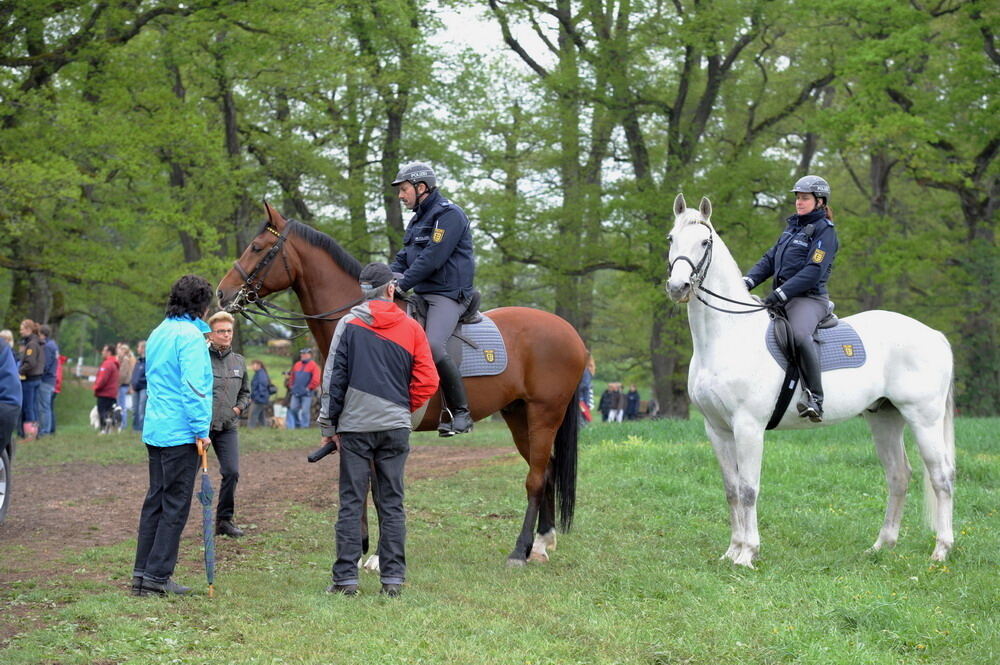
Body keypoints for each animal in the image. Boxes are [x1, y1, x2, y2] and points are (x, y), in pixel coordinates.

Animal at [217, 202, 584, 564]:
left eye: (257, 247)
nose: (222, 293)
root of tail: (568, 331)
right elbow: (365, 485)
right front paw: (363, 547)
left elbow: (381, 490)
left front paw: (380, 556)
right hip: (518, 415)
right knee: (546, 471)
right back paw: (542, 542)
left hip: (543, 415)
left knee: (535, 479)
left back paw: (521, 551)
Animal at [664, 192, 952, 564]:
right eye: (671, 239)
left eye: (704, 242)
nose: (678, 287)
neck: (727, 335)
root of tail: (934, 335)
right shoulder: (717, 429)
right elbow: (731, 490)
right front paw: (732, 550)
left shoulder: (748, 427)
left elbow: (748, 489)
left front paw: (747, 554)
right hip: (885, 418)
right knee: (899, 476)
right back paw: (882, 545)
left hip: (923, 419)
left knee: (941, 477)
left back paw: (941, 550)